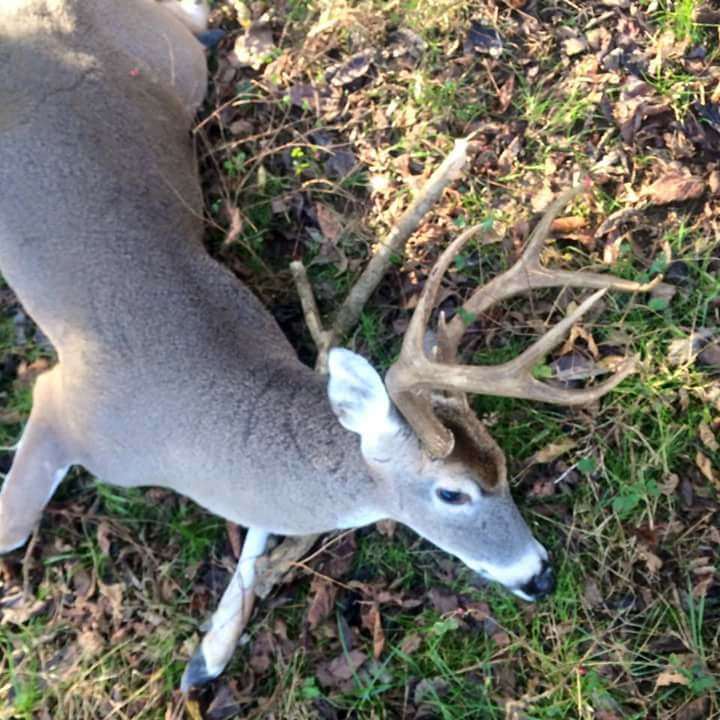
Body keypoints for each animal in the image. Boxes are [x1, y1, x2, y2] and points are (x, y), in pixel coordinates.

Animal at [0, 0, 660, 692]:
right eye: (452, 492)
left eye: (503, 465)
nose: (540, 574)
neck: (193, 435)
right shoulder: (67, 403)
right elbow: (11, 529)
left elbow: (257, 538)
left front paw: (207, 656)